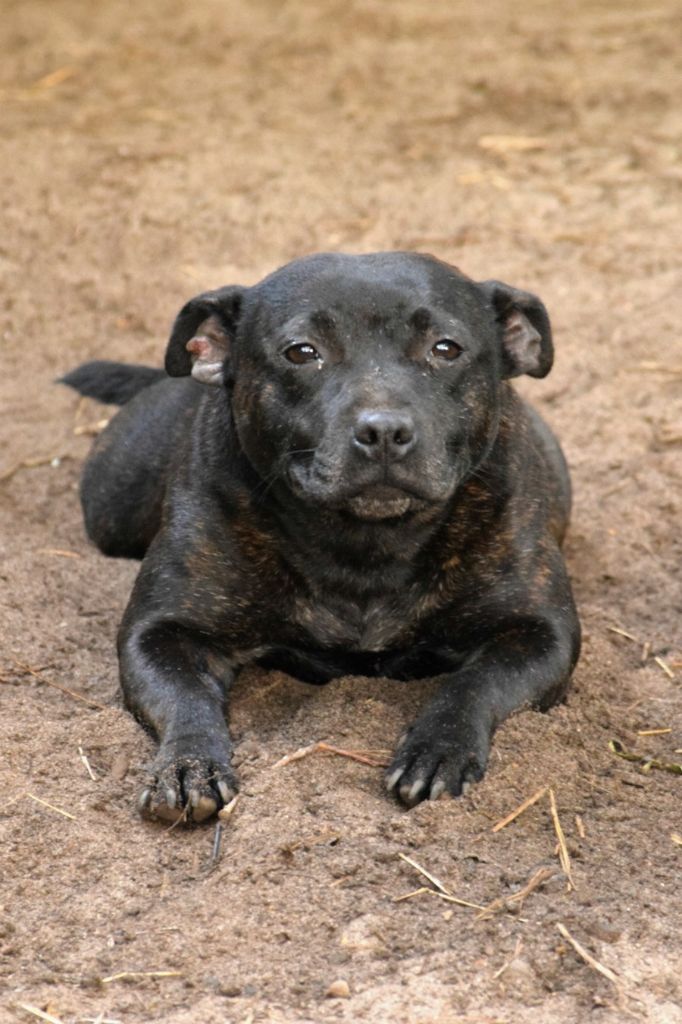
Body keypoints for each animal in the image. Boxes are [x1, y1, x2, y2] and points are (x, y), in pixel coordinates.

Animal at [62, 253, 577, 823]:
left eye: (445, 349)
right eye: (302, 352)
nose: (383, 430)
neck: (367, 542)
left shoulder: (541, 633)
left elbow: (477, 682)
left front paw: (438, 748)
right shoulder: (160, 631)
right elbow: (185, 696)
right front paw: (187, 764)